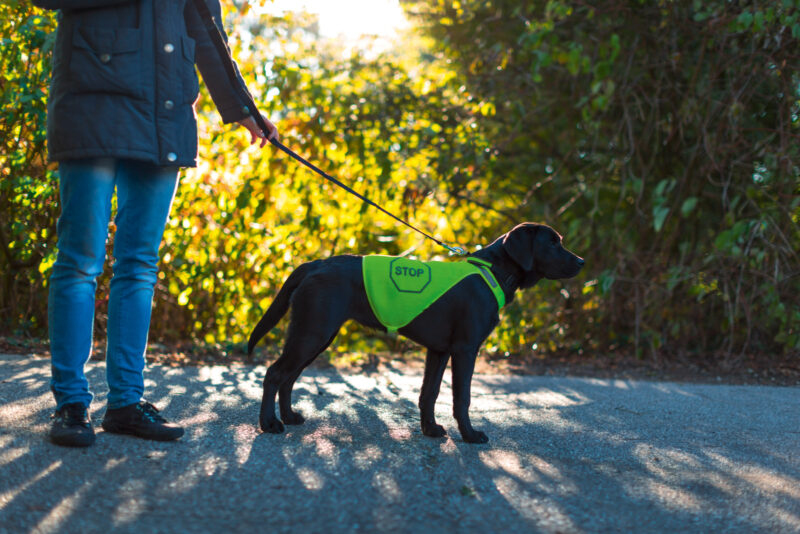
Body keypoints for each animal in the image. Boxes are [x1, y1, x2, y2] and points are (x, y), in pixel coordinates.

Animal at [247, 222, 584, 444]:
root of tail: (314, 264)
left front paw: (430, 430)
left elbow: (428, 393)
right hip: (312, 333)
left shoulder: (439, 351)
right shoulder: (465, 349)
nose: (582, 261)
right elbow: (462, 397)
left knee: (288, 377)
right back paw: (269, 423)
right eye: (553, 243)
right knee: (274, 374)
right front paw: (470, 435)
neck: (492, 272)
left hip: (315, 335)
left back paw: (289, 417)